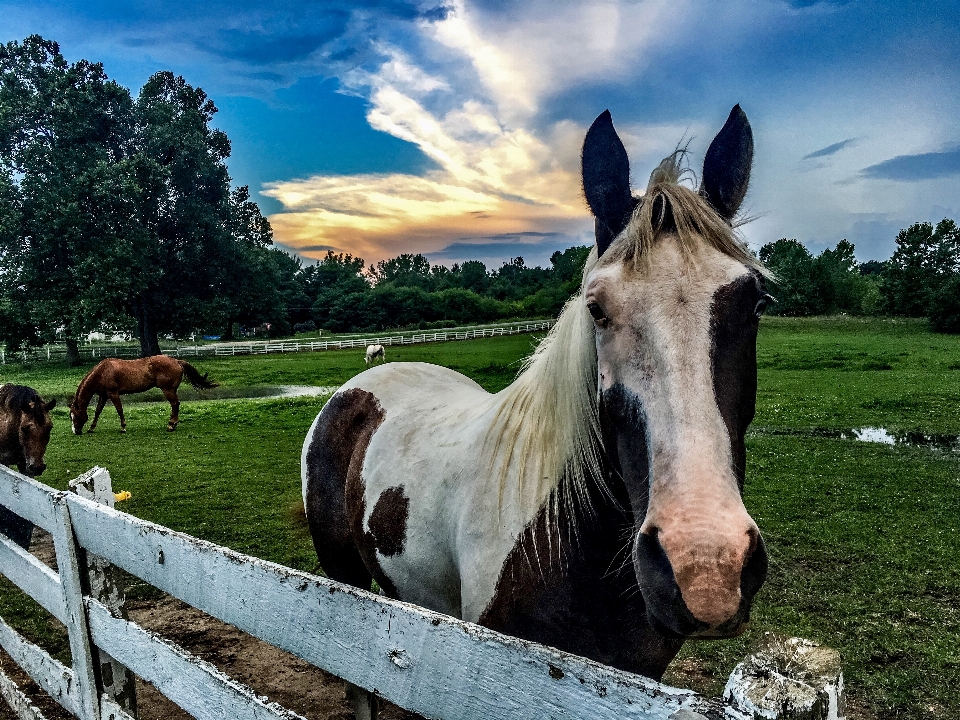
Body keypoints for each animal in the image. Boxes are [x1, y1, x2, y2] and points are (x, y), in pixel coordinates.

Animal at [69, 356, 218, 434]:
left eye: (75, 415)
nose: (76, 431)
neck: (103, 371)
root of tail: (176, 360)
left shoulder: (113, 394)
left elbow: (119, 410)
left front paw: (123, 427)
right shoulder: (104, 396)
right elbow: (98, 411)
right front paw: (91, 428)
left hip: (168, 390)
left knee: (175, 404)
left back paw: (171, 425)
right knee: (175, 404)